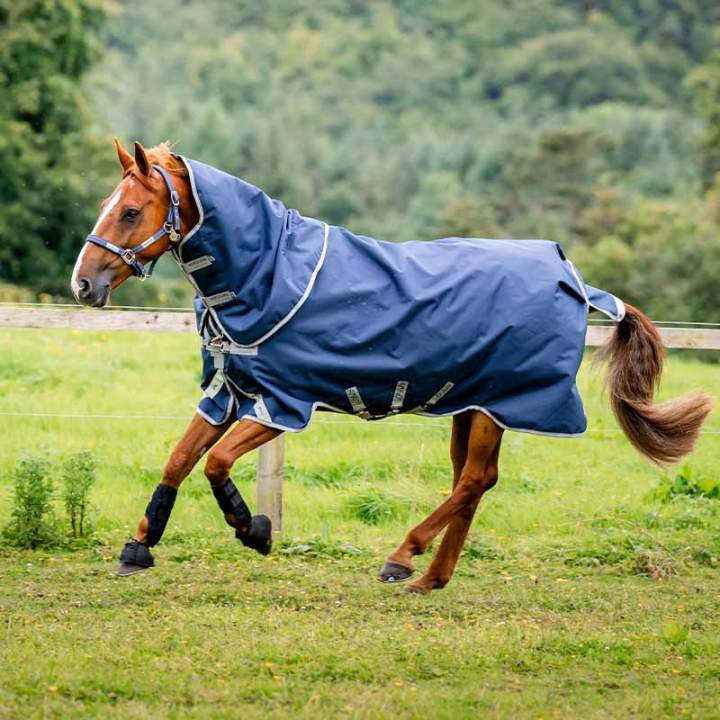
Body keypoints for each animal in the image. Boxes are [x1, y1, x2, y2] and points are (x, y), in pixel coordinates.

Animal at [71, 139, 713, 593]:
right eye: (106, 206)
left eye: (130, 211)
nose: (83, 284)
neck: (268, 274)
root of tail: (574, 279)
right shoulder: (230, 392)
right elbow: (180, 459)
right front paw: (139, 548)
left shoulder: (282, 403)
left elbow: (216, 463)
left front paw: (254, 530)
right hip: (472, 403)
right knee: (474, 481)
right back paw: (431, 578)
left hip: (497, 405)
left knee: (473, 481)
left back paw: (403, 558)